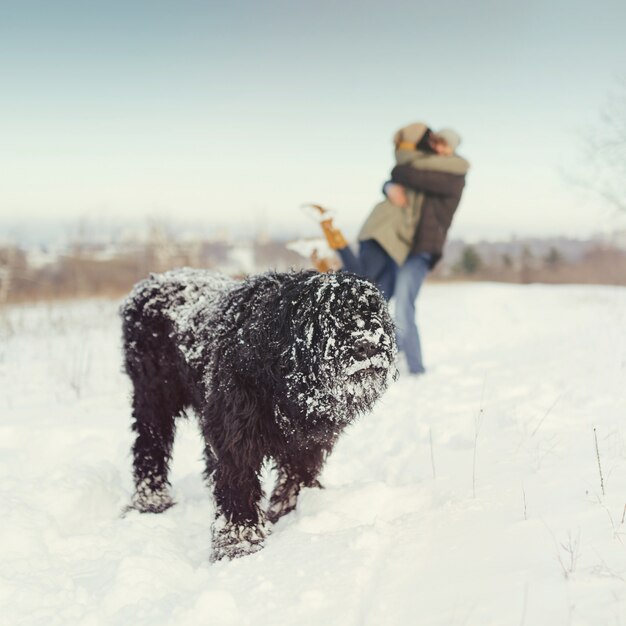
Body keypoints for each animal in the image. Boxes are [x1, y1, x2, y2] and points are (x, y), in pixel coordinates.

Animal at [120, 268, 394, 560]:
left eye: (373, 310)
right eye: (328, 315)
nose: (367, 345)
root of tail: (151, 281)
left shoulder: (308, 441)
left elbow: (297, 473)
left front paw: (286, 510)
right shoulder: (236, 435)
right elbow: (238, 484)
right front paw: (239, 542)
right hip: (154, 397)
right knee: (149, 444)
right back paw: (152, 499)